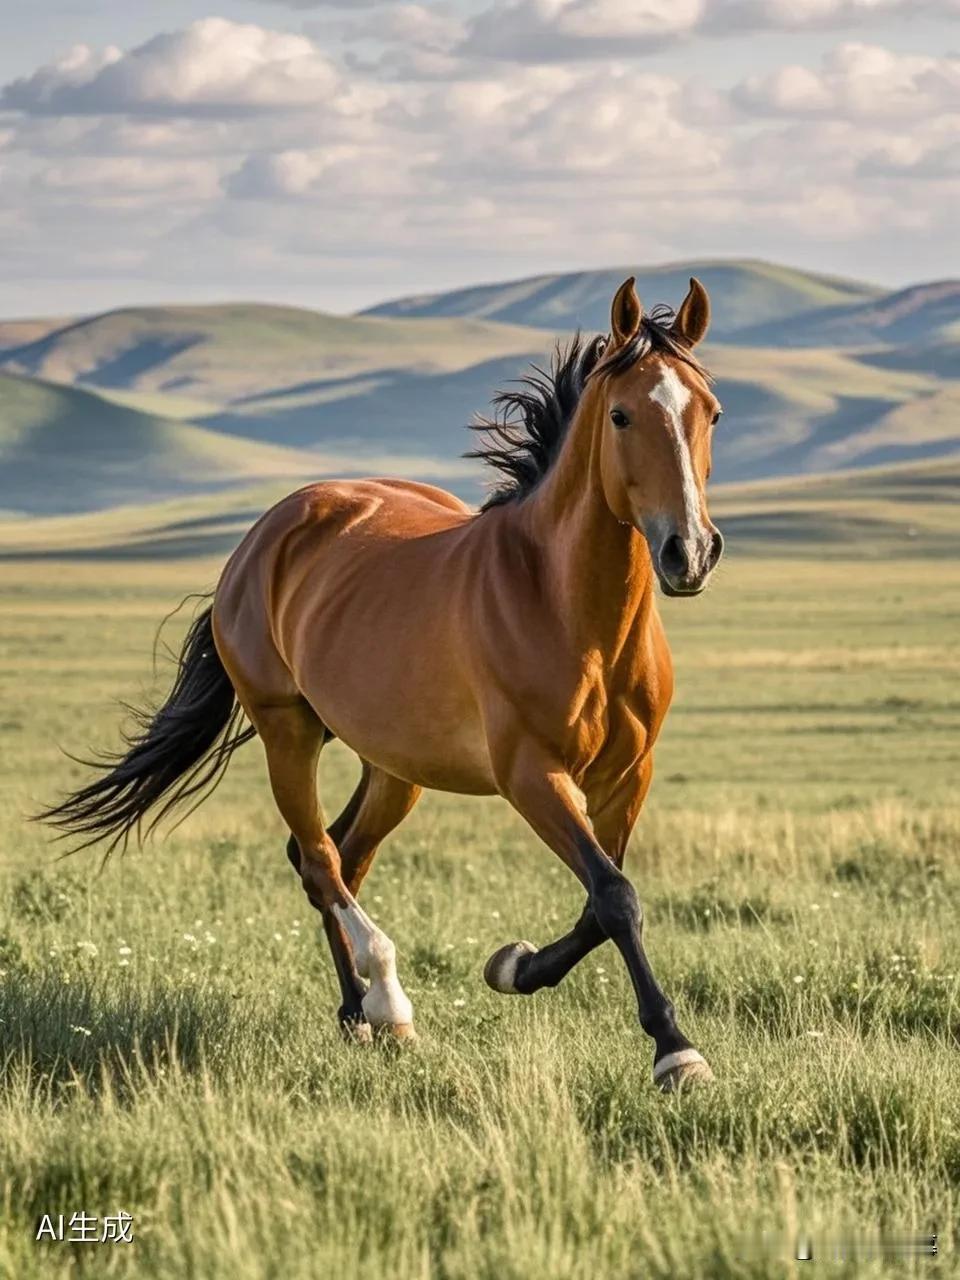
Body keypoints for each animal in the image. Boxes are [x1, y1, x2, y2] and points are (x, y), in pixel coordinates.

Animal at [43, 277, 721, 1090]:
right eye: (622, 415)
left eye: (711, 412)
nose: (689, 552)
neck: (564, 606)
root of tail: (269, 531)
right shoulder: (533, 775)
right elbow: (615, 896)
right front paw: (675, 1051)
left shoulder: (628, 775)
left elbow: (602, 901)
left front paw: (513, 966)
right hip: (288, 731)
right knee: (319, 859)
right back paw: (387, 1002)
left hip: (393, 766)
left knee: (340, 854)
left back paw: (356, 1015)